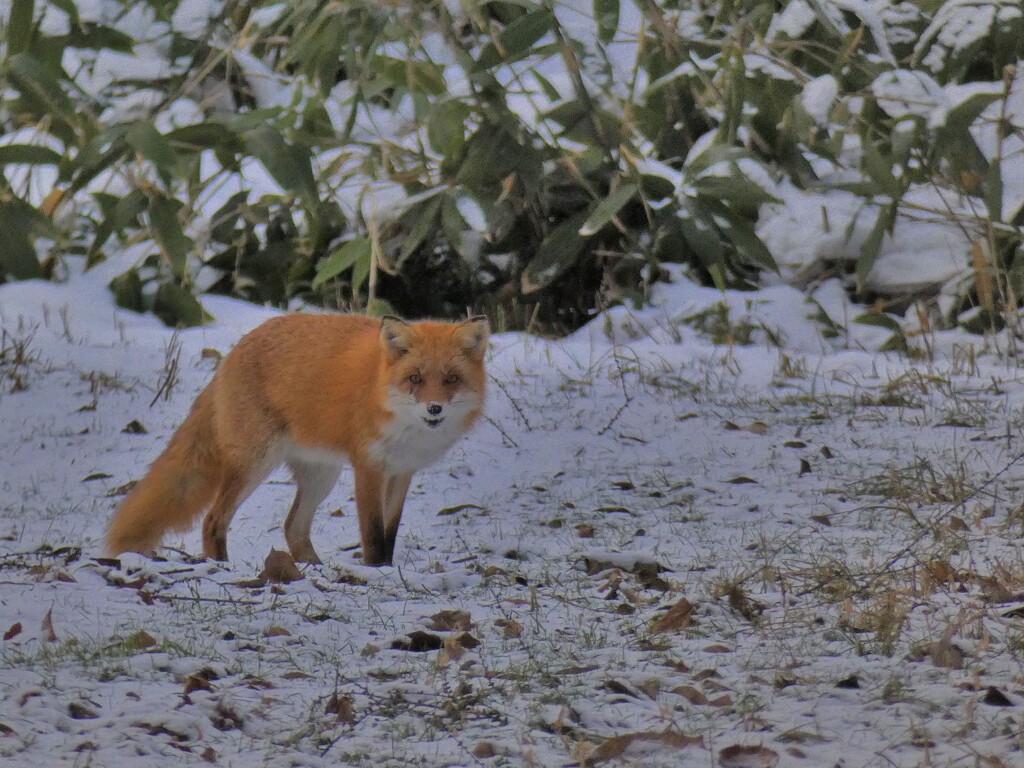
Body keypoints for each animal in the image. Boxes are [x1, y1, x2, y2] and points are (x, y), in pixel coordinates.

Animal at [105, 311, 489, 565]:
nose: (435, 408)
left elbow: (390, 534)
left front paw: (388, 570)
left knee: (292, 527)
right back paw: (222, 567)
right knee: (213, 520)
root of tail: (234, 351)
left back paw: (311, 568)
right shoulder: (369, 467)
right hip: (255, 464)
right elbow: (373, 534)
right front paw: (374, 571)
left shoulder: (401, 472)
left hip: (321, 476)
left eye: (451, 379)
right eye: (415, 379)